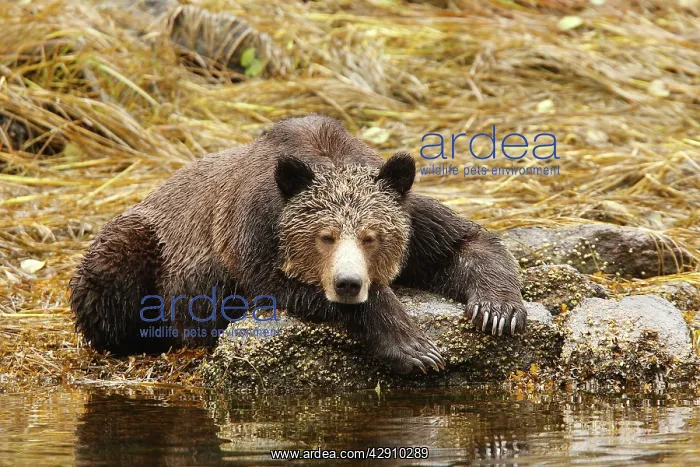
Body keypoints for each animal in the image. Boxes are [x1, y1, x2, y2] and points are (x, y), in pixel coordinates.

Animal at [69, 115, 526, 374]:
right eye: (324, 237)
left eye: (371, 237)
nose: (348, 283)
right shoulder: (254, 231)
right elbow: (272, 284)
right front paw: (415, 349)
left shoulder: (411, 217)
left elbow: (464, 242)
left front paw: (497, 311)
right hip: (149, 243)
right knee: (111, 277)